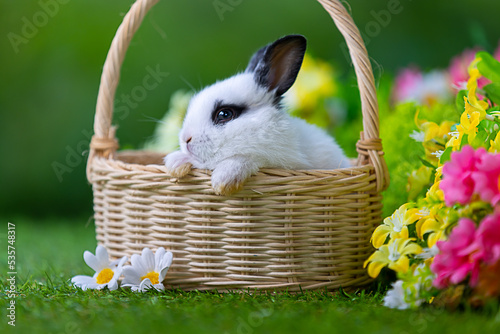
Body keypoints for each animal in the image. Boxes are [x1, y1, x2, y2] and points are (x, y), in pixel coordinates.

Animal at [164, 34, 348, 196]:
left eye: (224, 114)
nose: (185, 139)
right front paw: (175, 163)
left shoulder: (280, 161)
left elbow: (245, 158)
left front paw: (222, 182)